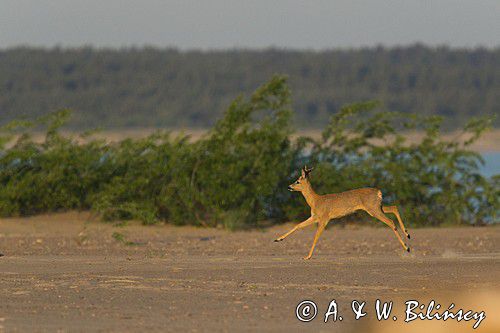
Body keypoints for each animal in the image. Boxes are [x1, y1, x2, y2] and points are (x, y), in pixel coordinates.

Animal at [274, 166, 410, 260]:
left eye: (297, 181)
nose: (289, 187)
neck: (316, 200)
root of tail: (378, 192)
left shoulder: (324, 219)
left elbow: (316, 236)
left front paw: (307, 257)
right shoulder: (314, 217)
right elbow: (298, 225)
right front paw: (277, 239)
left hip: (374, 210)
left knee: (391, 222)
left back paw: (407, 247)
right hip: (378, 208)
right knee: (394, 208)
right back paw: (408, 235)